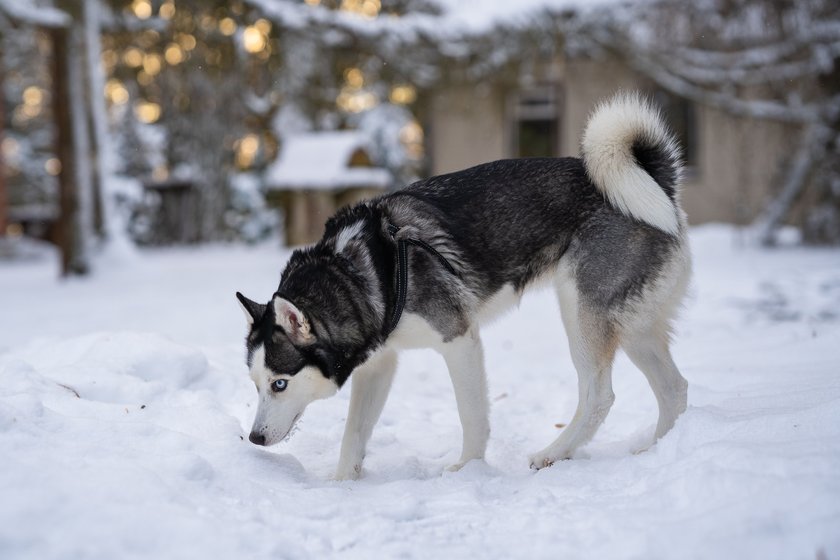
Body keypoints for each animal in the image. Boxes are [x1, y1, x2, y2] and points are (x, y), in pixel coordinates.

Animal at [235, 93, 688, 482]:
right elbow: (354, 434)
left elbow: (471, 414)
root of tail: (657, 182)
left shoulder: (459, 340)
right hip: (632, 328)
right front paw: (342, 483)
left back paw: (555, 452)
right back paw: (660, 448)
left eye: (279, 384)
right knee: (674, 389)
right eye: (254, 383)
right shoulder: (380, 364)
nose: (254, 438)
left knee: (599, 395)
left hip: (582, 313)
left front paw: (468, 468)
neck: (357, 273)